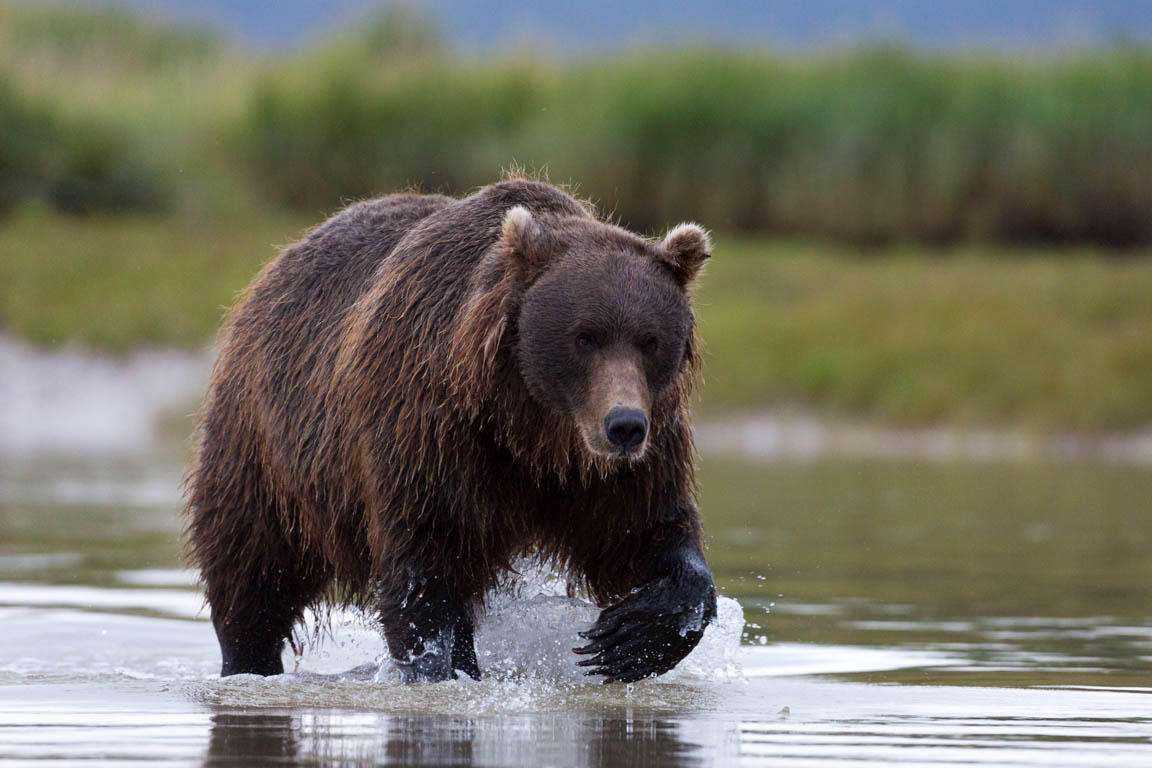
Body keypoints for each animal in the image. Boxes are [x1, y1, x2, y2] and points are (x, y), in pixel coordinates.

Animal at [184, 180, 714, 686]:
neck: (531, 431)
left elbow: (646, 533)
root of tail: (281, 261)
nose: (624, 425)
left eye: (650, 340)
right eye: (585, 337)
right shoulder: (429, 424)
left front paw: (628, 637)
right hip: (265, 445)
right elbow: (425, 563)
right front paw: (435, 667)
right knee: (251, 566)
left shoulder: (624, 461)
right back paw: (247, 660)